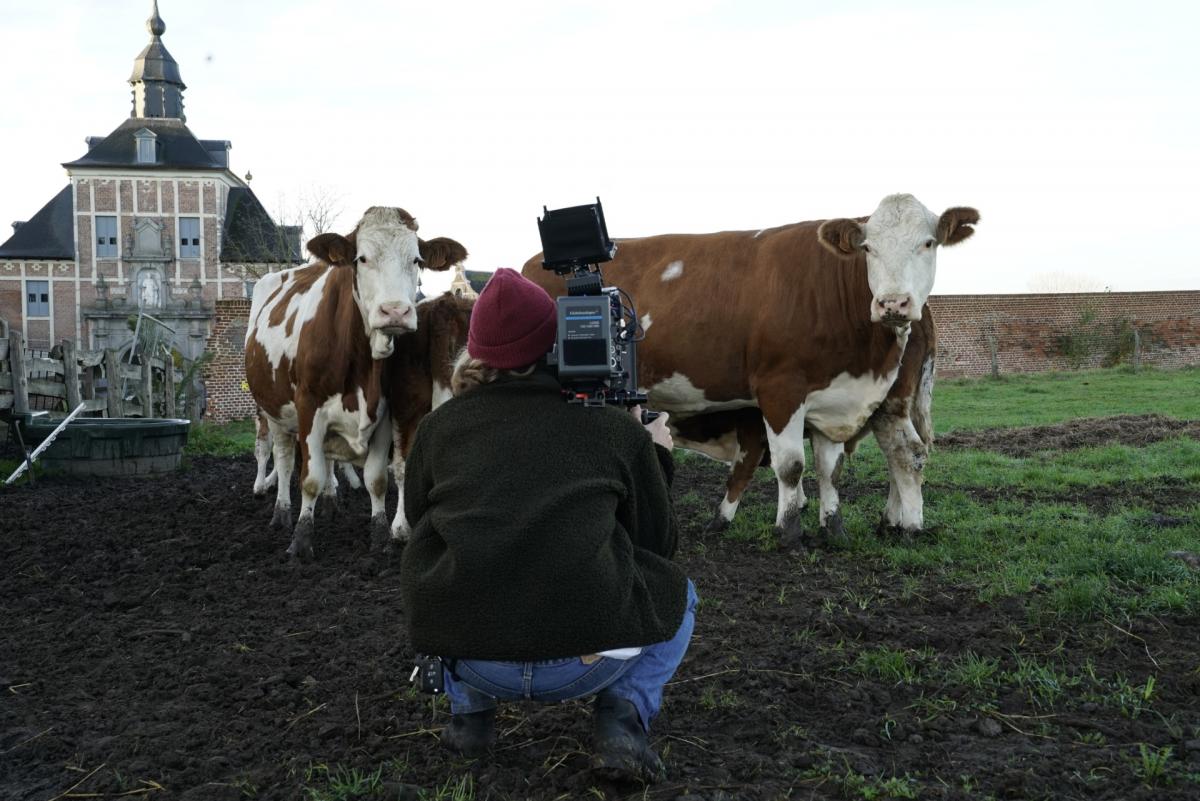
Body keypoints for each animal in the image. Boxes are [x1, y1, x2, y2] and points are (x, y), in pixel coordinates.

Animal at [246, 206, 465, 556]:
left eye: (417, 260)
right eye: (361, 258)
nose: (395, 311)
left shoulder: (384, 413)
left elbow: (376, 478)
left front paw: (380, 535)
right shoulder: (308, 407)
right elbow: (309, 477)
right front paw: (301, 540)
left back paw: (331, 503)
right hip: (272, 410)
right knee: (281, 457)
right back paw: (281, 513)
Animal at [520, 191, 979, 551]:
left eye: (929, 243)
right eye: (869, 249)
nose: (892, 303)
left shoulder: (834, 397)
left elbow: (830, 468)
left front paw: (833, 530)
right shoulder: (780, 389)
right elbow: (791, 465)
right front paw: (790, 533)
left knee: (907, 453)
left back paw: (904, 526)